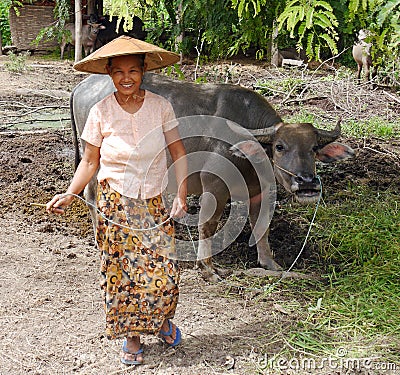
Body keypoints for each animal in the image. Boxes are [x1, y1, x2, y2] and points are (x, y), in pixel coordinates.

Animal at [70, 74, 354, 282]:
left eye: (314, 148)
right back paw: (100, 238)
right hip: (95, 158)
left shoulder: (259, 190)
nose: (307, 183)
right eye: (279, 147)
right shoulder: (214, 184)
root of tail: (83, 85)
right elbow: (208, 225)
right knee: (92, 195)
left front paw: (270, 263)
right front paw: (208, 268)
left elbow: (261, 225)